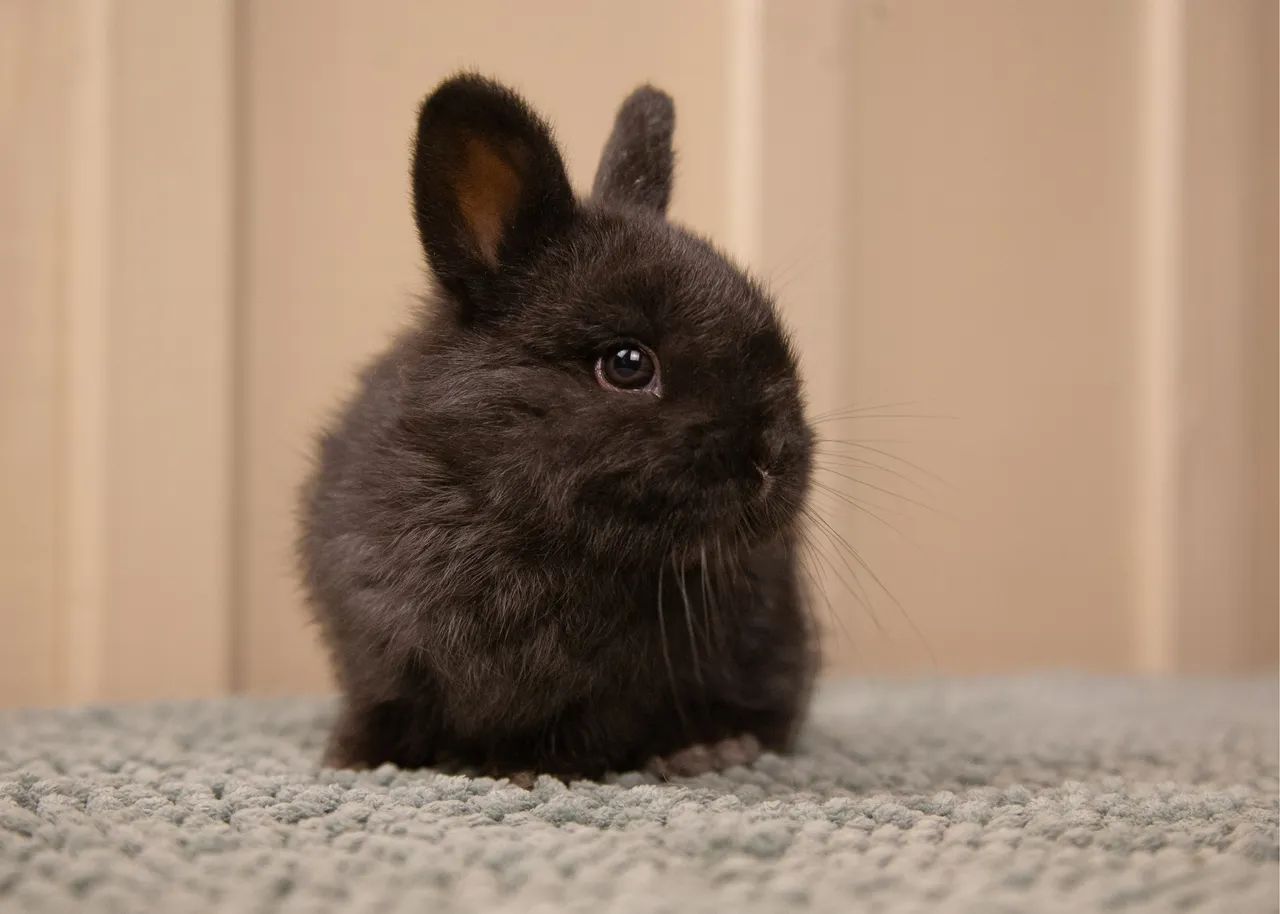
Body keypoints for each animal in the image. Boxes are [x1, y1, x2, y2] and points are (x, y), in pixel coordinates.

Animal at [299, 74, 817, 781]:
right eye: (627, 364)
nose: (770, 460)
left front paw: (522, 769)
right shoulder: (377, 649)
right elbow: (383, 706)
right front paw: (349, 760)